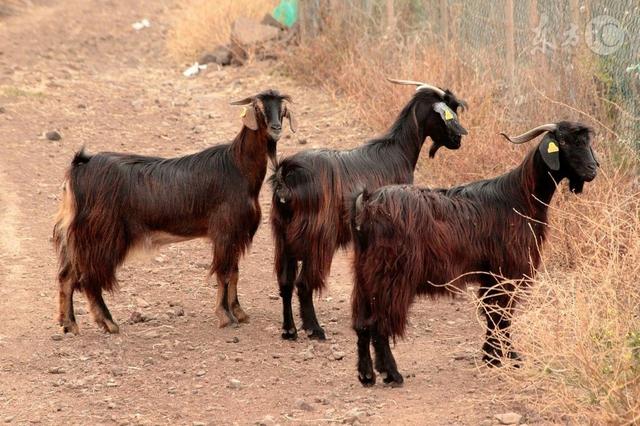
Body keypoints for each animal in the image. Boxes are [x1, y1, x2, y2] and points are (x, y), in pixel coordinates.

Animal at [52, 90, 298, 336]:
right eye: (258, 108)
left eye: (282, 110)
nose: (276, 127)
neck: (237, 167)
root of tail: (80, 166)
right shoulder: (225, 230)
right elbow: (224, 273)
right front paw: (225, 316)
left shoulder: (236, 234)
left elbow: (234, 272)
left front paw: (238, 312)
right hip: (101, 235)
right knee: (89, 278)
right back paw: (108, 322)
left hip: (79, 238)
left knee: (67, 275)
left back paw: (69, 324)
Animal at [270, 78, 470, 340]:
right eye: (449, 112)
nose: (458, 140)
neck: (398, 151)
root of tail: (287, 176)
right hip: (317, 236)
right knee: (303, 283)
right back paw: (315, 329)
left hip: (283, 235)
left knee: (284, 281)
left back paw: (289, 330)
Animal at [350, 120, 596, 386]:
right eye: (564, 141)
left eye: (586, 142)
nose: (593, 169)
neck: (520, 198)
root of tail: (368, 203)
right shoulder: (507, 270)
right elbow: (501, 313)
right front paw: (508, 358)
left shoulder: (491, 273)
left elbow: (493, 312)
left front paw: (493, 357)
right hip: (391, 274)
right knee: (379, 324)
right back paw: (392, 373)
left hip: (365, 273)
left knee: (362, 324)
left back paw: (366, 374)